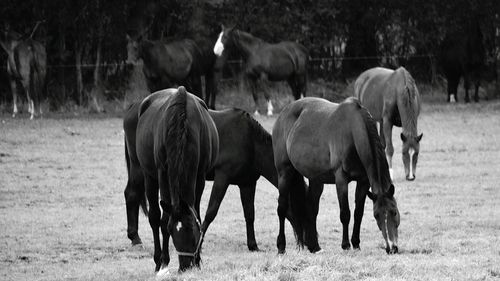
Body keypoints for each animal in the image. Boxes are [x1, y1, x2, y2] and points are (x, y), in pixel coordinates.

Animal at [123, 86, 217, 272]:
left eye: (194, 232)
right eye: (173, 231)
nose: (185, 266)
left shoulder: (200, 176)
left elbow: (198, 213)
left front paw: (198, 259)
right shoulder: (163, 173)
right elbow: (162, 220)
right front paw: (163, 260)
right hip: (143, 171)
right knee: (146, 208)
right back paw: (150, 252)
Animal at [125, 99, 294, 252]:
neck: (249, 141)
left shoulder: (247, 183)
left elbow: (249, 214)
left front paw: (253, 245)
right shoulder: (222, 177)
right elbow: (211, 211)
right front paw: (198, 243)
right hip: (140, 167)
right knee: (132, 193)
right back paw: (136, 238)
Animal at [272, 96, 400, 254]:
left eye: (394, 212)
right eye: (376, 215)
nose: (392, 248)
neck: (352, 131)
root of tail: (282, 115)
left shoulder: (363, 181)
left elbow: (358, 213)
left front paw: (356, 243)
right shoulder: (341, 179)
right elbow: (345, 213)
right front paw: (345, 245)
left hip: (315, 179)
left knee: (311, 209)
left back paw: (314, 246)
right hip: (284, 173)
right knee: (282, 208)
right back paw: (281, 246)